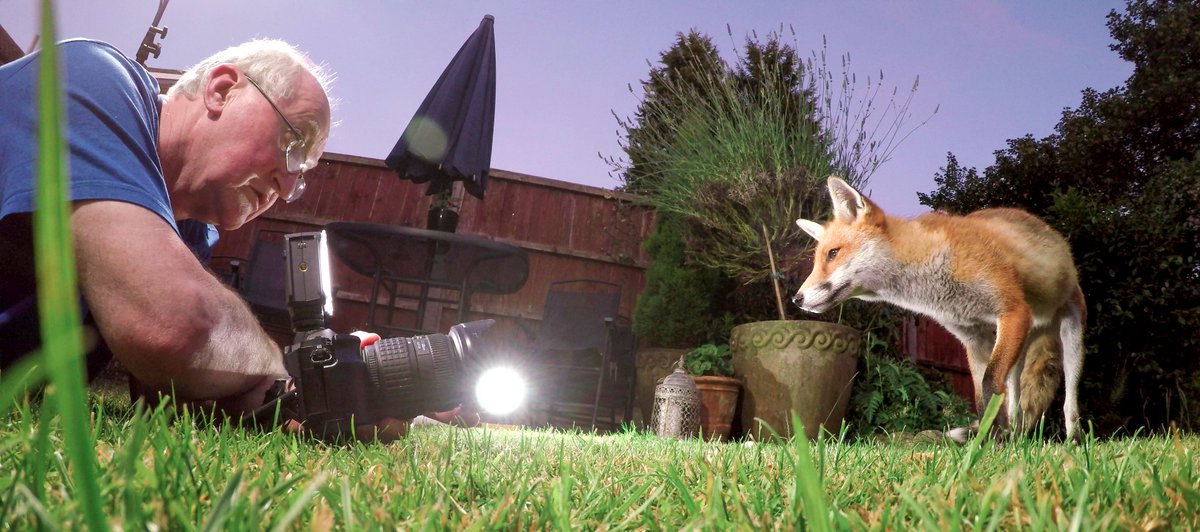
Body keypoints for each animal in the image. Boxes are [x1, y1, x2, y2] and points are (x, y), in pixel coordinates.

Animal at [792, 177, 1086, 441]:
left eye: (833, 253)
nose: (797, 299)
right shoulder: (973, 336)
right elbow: (982, 398)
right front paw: (987, 444)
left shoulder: (1012, 310)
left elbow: (989, 383)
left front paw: (989, 446)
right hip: (1017, 350)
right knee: (1016, 400)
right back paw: (1016, 439)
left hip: (1070, 338)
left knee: (1069, 401)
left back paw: (1074, 440)